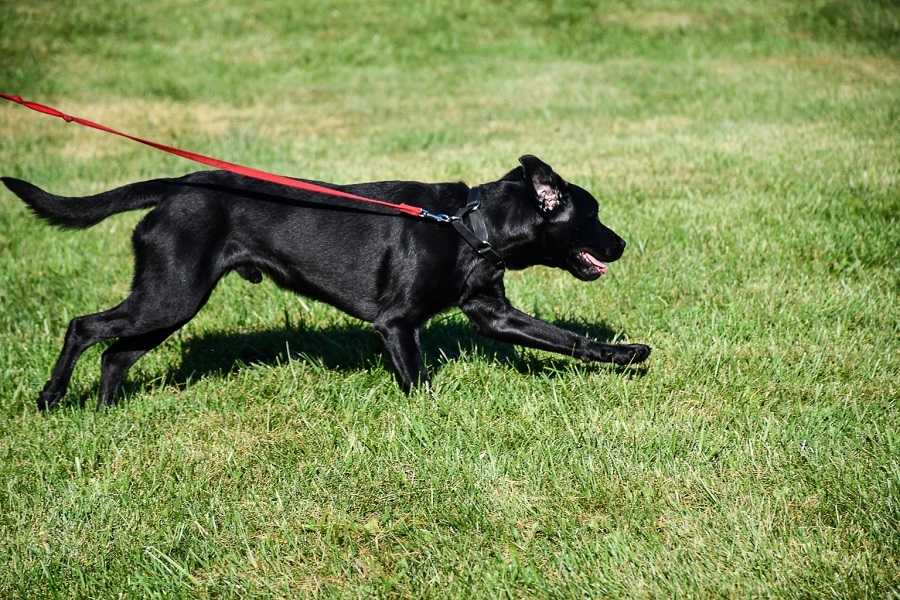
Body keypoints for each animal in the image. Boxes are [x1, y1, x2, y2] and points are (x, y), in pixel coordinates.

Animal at [0, 155, 648, 410]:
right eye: (592, 214)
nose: (621, 244)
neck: (470, 228)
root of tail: (177, 186)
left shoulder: (492, 312)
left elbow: (565, 338)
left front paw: (628, 354)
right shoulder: (397, 324)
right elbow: (418, 383)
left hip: (167, 301)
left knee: (115, 354)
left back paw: (108, 411)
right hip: (170, 294)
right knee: (85, 327)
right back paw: (52, 397)